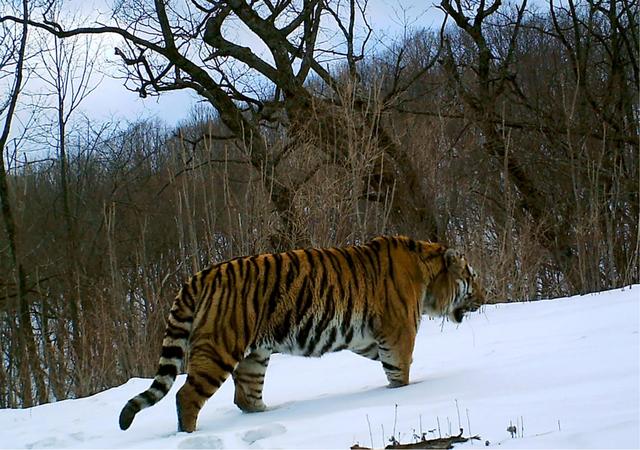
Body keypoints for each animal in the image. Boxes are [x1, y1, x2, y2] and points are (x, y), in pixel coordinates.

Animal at [118, 235, 484, 433]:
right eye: (472, 277)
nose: (485, 295)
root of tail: (197, 276)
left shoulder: (368, 338)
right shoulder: (397, 334)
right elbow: (401, 372)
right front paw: (405, 393)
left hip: (254, 356)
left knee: (245, 397)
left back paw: (274, 416)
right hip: (218, 349)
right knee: (187, 396)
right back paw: (189, 436)